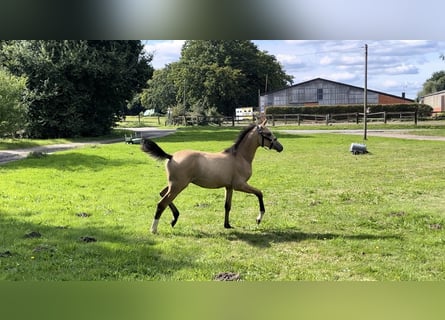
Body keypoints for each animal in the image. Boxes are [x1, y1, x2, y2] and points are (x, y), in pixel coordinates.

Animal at [140, 119, 282, 234]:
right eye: (268, 134)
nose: (281, 147)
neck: (239, 157)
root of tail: (171, 156)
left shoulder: (229, 187)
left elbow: (227, 206)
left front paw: (227, 225)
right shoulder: (240, 185)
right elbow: (259, 193)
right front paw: (258, 219)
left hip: (174, 185)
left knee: (162, 193)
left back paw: (174, 219)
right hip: (178, 186)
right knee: (162, 203)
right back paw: (154, 229)